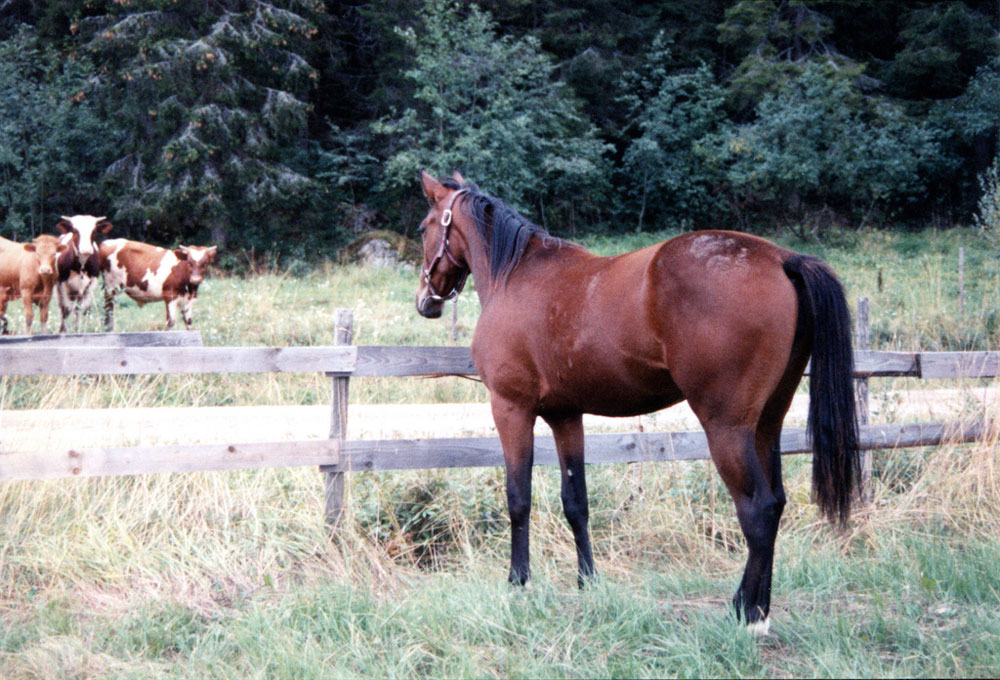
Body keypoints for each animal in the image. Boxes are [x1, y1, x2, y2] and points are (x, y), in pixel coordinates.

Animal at [414, 170, 860, 632]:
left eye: (423, 228)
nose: (425, 300)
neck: (515, 275)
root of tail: (780, 258)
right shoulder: (565, 416)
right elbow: (576, 502)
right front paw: (587, 581)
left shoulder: (511, 409)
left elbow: (518, 497)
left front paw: (519, 582)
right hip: (767, 424)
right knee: (777, 502)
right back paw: (762, 609)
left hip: (727, 428)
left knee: (758, 510)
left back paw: (745, 612)